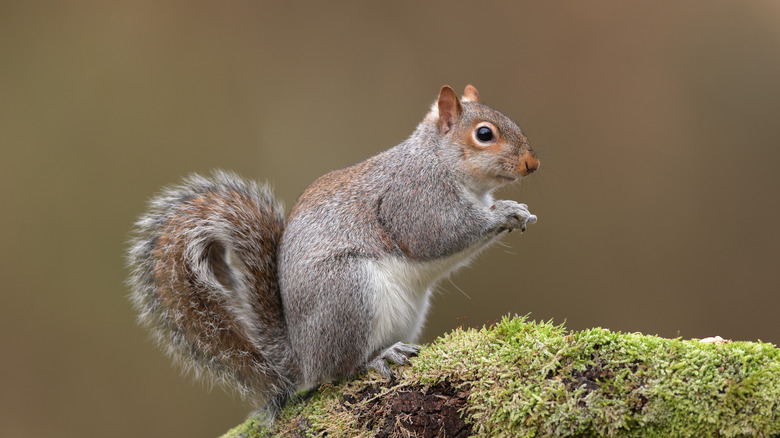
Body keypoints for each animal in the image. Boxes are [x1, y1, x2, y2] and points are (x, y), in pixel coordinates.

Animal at [126, 85, 544, 418]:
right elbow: (436, 235)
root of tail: (302, 356)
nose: (533, 163)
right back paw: (377, 358)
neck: (439, 160)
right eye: (484, 134)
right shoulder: (412, 200)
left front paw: (518, 211)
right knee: (339, 370)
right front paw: (504, 212)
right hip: (347, 293)